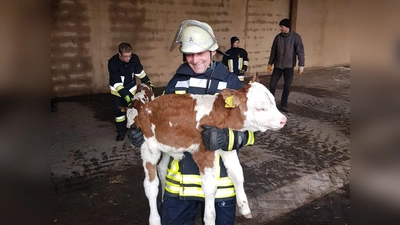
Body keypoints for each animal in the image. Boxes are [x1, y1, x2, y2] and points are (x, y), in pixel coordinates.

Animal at [126, 74, 286, 225]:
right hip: (148, 148)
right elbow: (210, 189)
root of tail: (144, 108)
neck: (218, 114)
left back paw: (165, 198)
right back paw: (155, 219)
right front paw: (209, 218)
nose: (283, 120)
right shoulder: (203, 152)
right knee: (151, 186)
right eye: (260, 108)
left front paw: (244, 207)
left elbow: (237, 174)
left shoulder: (225, 146)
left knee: (162, 168)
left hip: (166, 146)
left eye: (273, 101)